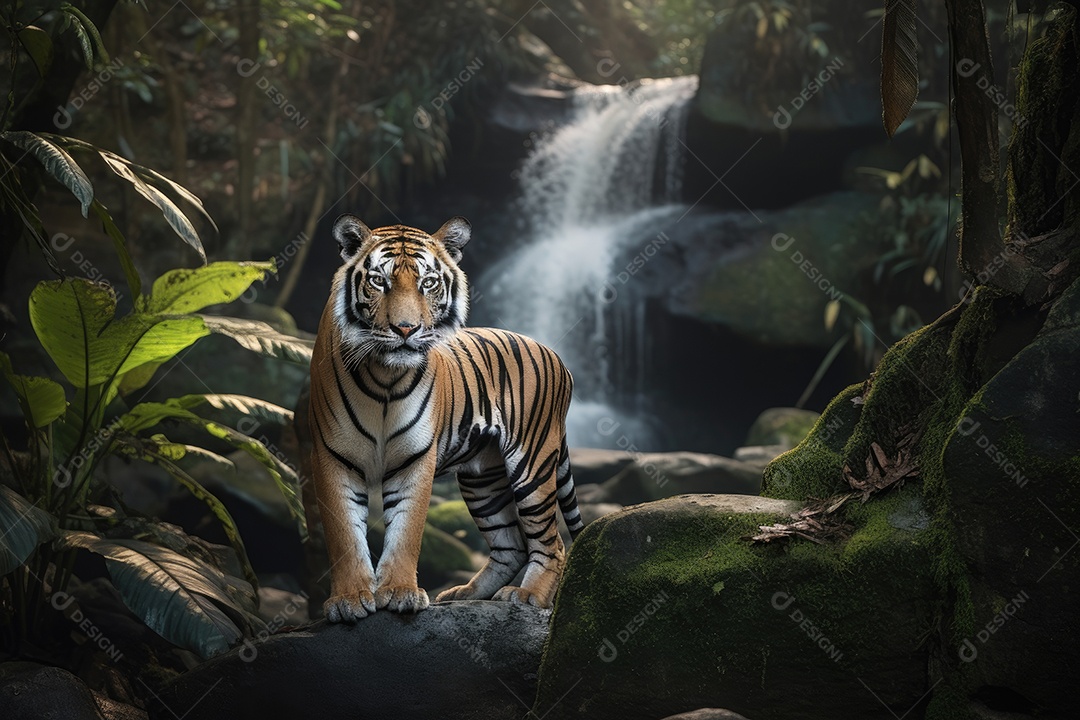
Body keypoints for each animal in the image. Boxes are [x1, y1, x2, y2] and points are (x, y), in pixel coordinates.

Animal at [308, 213, 585, 623]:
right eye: (379, 281)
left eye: (428, 283)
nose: (405, 329)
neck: (384, 376)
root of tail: (556, 355)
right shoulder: (332, 457)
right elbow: (344, 534)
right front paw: (349, 599)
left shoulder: (414, 459)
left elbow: (406, 530)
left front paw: (400, 593)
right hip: (482, 480)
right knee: (511, 543)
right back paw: (466, 594)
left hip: (532, 465)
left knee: (551, 544)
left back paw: (527, 596)